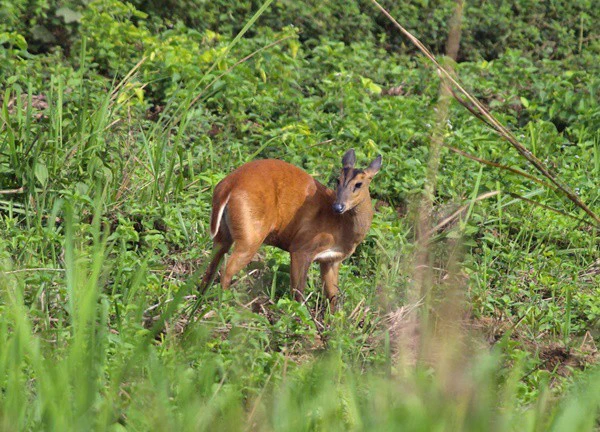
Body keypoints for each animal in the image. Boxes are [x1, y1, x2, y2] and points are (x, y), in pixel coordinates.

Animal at [199, 148, 382, 310]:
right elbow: (298, 291)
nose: (338, 206)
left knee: (212, 265)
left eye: (359, 184)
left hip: (223, 234)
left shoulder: (331, 260)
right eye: (338, 180)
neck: (342, 228)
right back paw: (223, 306)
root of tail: (229, 185)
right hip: (251, 235)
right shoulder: (302, 247)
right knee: (227, 269)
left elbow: (333, 296)